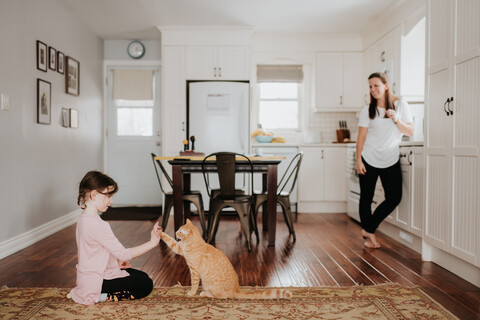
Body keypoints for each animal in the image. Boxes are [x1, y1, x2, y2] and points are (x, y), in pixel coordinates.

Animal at [160, 219, 292, 298]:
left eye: (180, 231)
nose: (176, 232)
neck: (193, 243)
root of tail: (236, 290)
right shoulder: (179, 248)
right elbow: (169, 240)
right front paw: (159, 232)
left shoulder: (194, 271)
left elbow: (194, 283)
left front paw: (192, 293)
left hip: (209, 283)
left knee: (221, 296)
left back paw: (204, 293)